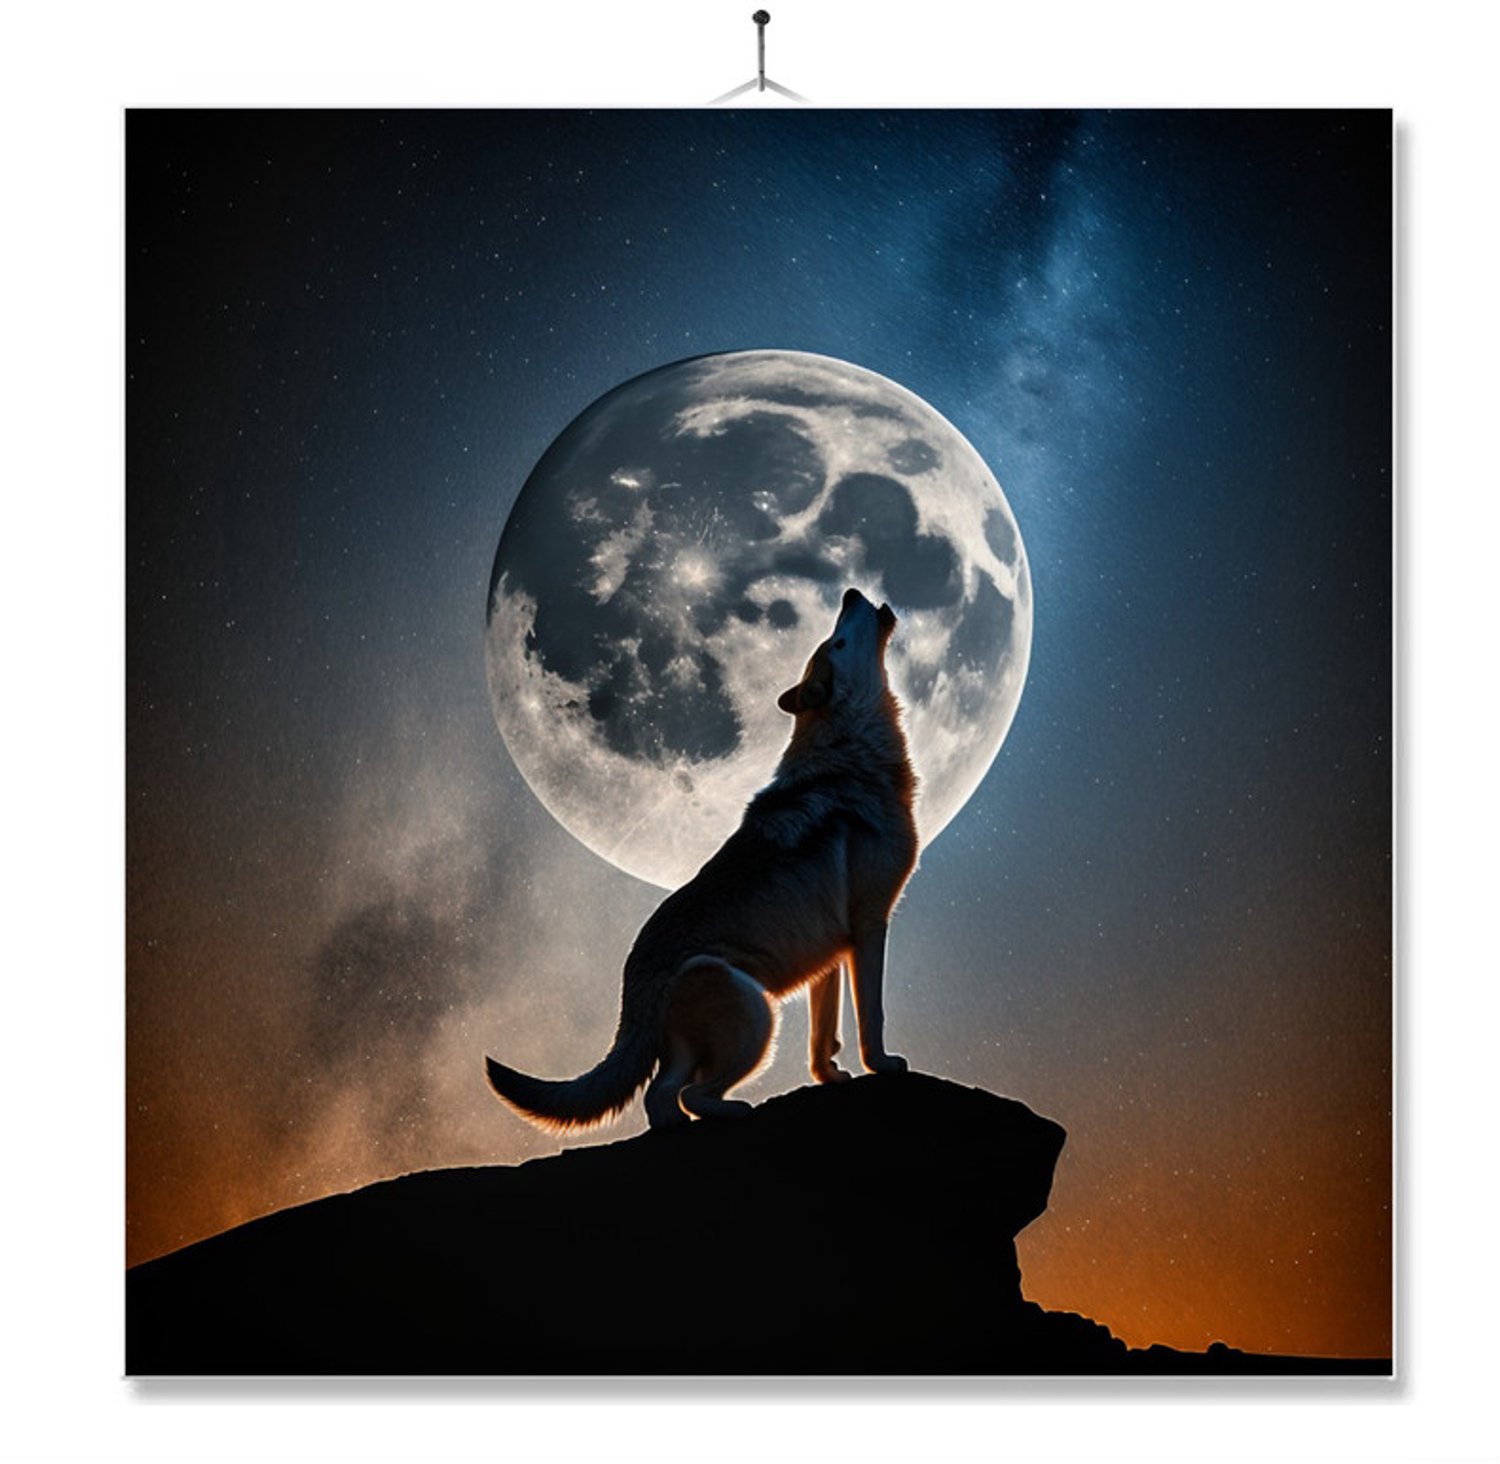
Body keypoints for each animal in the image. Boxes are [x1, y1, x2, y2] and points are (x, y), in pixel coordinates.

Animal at [485, 587, 919, 1130]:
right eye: (837, 642)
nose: (851, 592)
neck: (851, 750)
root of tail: (634, 980)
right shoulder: (869, 926)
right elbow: (872, 1017)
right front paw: (882, 1065)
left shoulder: (830, 957)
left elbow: (822, 1038)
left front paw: (831, 1077)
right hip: (757, 1014)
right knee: (688, 1094)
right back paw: (734, 1109)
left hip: (711, 1039)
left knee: (661, 1099)